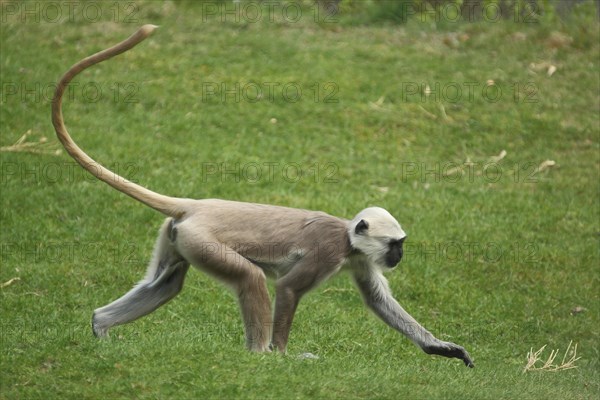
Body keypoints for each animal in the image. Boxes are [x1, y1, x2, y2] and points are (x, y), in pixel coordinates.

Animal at [51, 24, 474, 368]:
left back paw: (100, 326)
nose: (399, 256)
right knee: (250, 278)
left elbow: (378, 301)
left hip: (178, 237)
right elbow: (287, 288)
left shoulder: (357, 258)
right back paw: (260, 355)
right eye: (395, 244)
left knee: (166, 284)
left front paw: (440, 348)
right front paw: (282, 356)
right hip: (202, 240)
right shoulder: (328, 252)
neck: (346, 234)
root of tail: (197, 205)